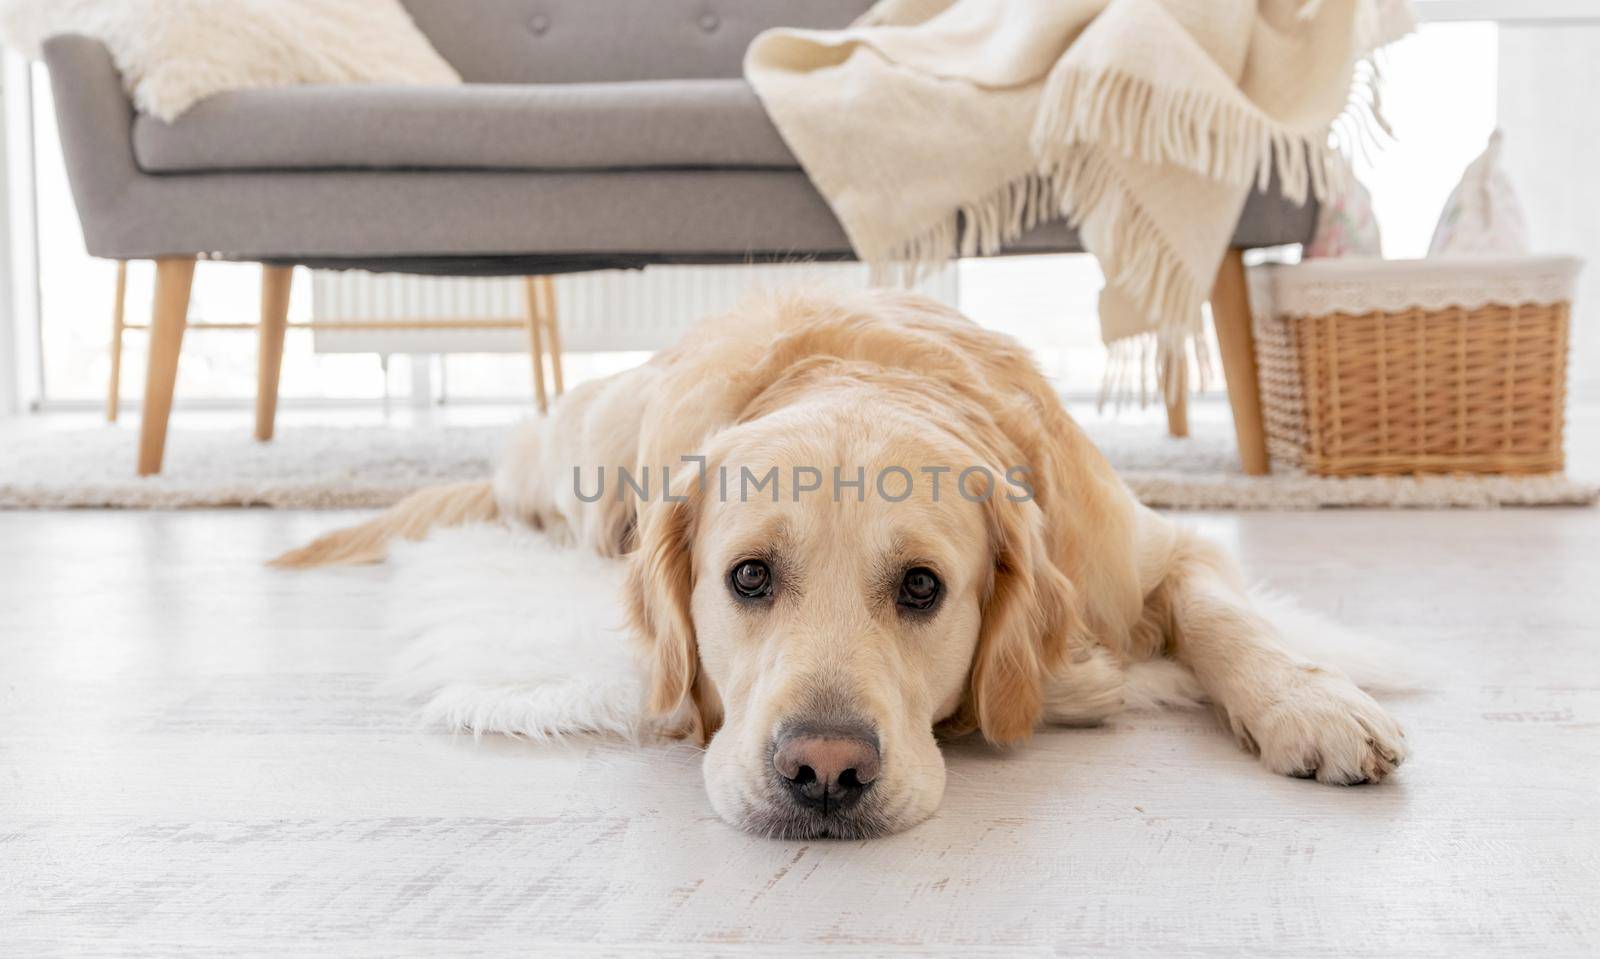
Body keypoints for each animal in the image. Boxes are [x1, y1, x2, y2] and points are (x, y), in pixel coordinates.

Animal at [281, 291, 1408, 838]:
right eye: (748, 577)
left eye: (922, 587)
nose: (823, 771)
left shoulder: (1144, 548)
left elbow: (1229, 615)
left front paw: (1313, 702)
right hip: (569, 455)